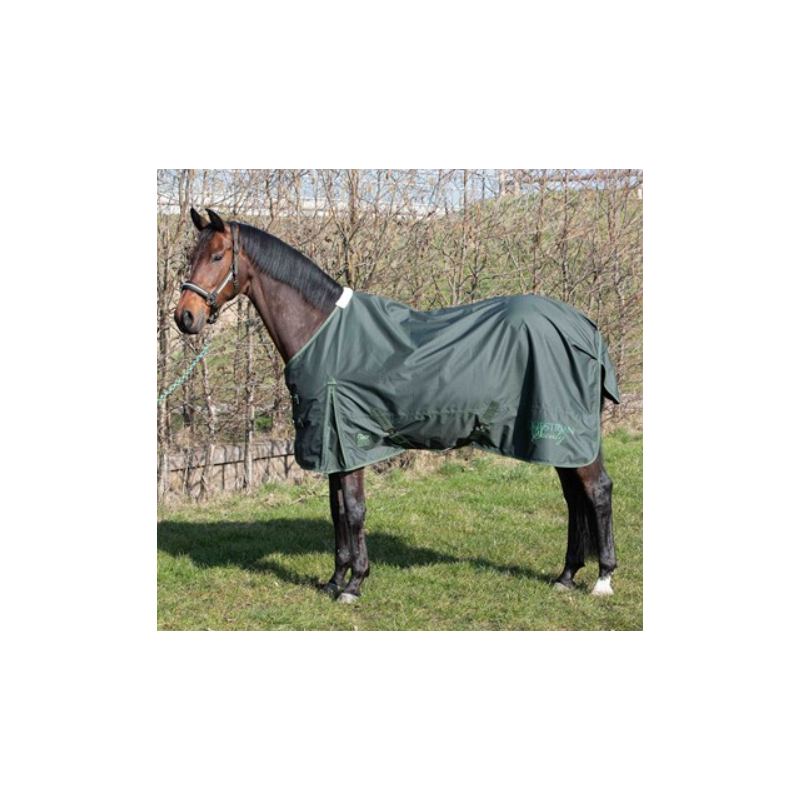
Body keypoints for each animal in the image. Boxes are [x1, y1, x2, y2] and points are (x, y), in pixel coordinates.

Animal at [175, 208, 619, 602]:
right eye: (190, 255)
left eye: (217, 256)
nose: (185, 317)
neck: (321, 331)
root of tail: (586, 328)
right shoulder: (331, 445)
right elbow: (337, 511)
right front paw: (335, 580)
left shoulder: (348, 441)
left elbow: (354, 510)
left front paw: (355, 585)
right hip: (556, 441)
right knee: (574, 498)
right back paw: (566, 576)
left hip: (566, 432)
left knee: (597, 491)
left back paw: (602, 579)